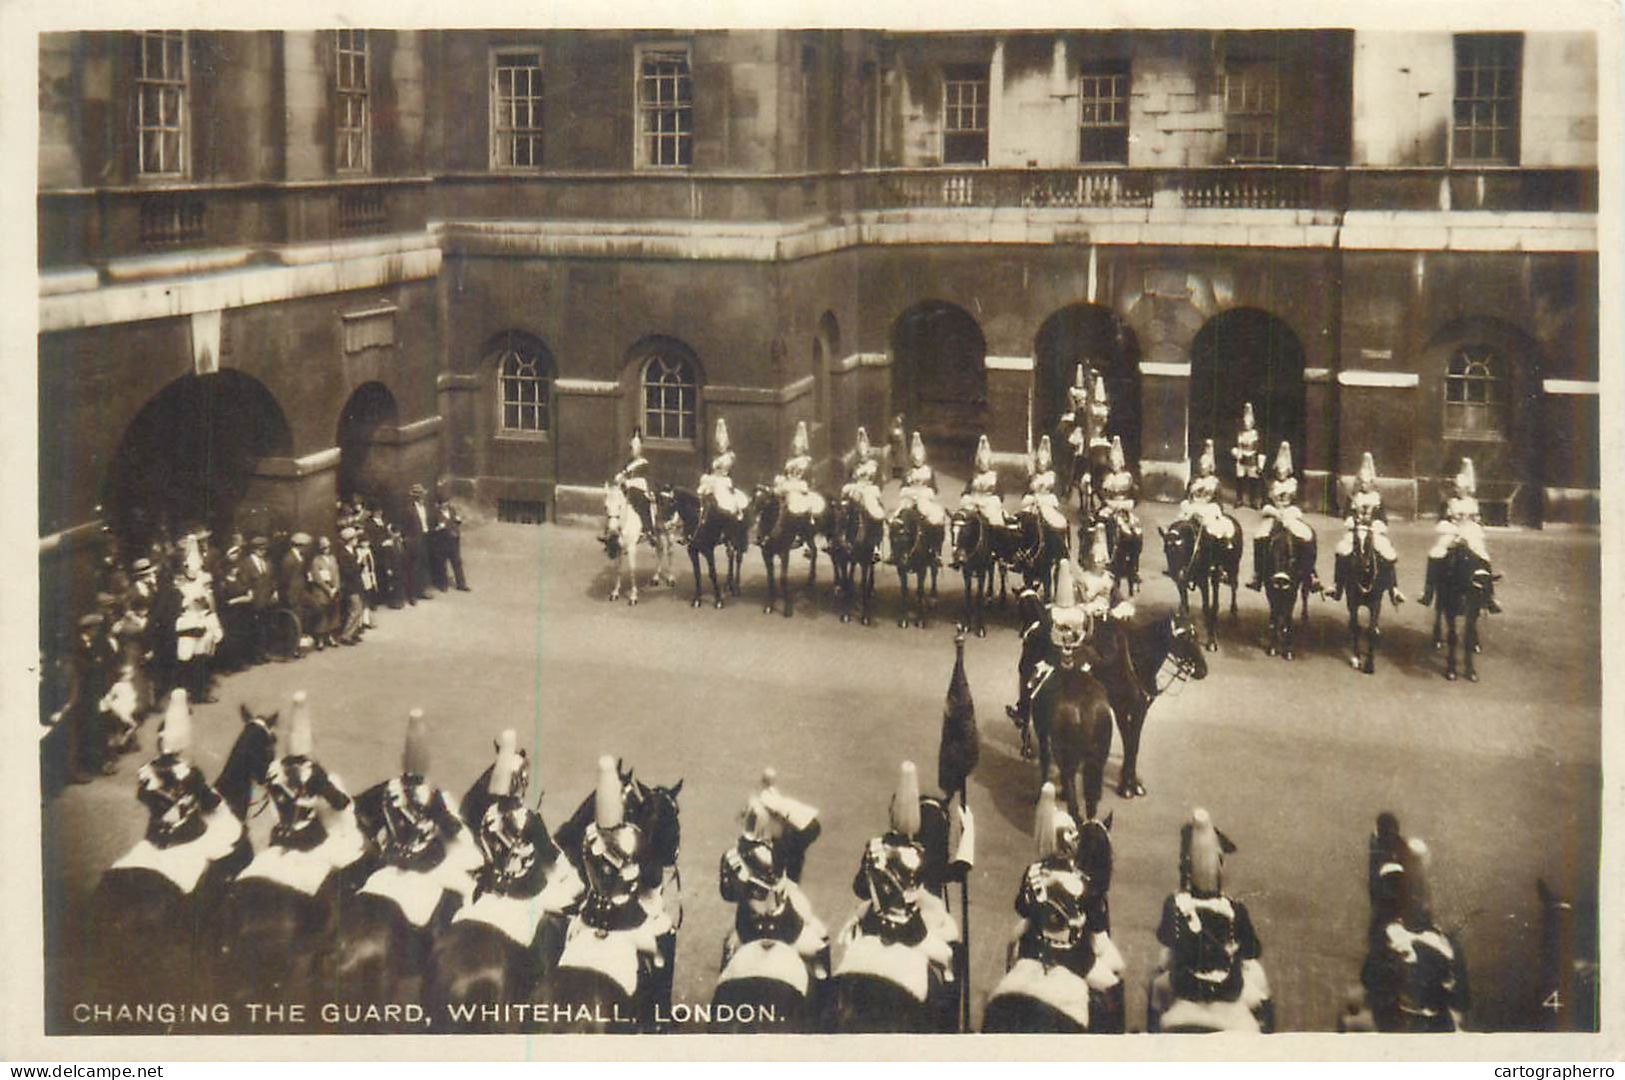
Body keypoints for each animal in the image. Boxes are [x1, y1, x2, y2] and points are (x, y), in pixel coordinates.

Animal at [832, 490, 884, 620]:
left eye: (848, 518)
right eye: (836, 519)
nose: (841, 544)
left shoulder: (864, 562)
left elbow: (863, 585)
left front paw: (865, 616)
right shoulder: (844, 561)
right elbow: (846, 582)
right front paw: (846, 614)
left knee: (871, 569)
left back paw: (870, 589)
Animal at [1157, 519, 1241, 652]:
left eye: (1180, 550)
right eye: (1165, 550)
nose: (1174, 575)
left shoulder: (1203, 581)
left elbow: (1205, 608)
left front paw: (1211, 642)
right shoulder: (1182, 584)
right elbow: (1185, 606)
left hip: (1233, 567)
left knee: (1234, 587)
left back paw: (1233, 613)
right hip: (1216, 575)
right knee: (1216, 593)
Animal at [1436, 542, 1495, 678]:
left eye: (1477, 559)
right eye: (1464, 560)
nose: (1482, 581)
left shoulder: (1472, 611)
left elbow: (1468, 636)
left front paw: (1471, 671)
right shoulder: (1450, 610)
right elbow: (1452, 637)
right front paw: (1451, 670)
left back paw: (1476, 644)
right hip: (1440, 599)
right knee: (1437, 614)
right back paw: (1436, 641)